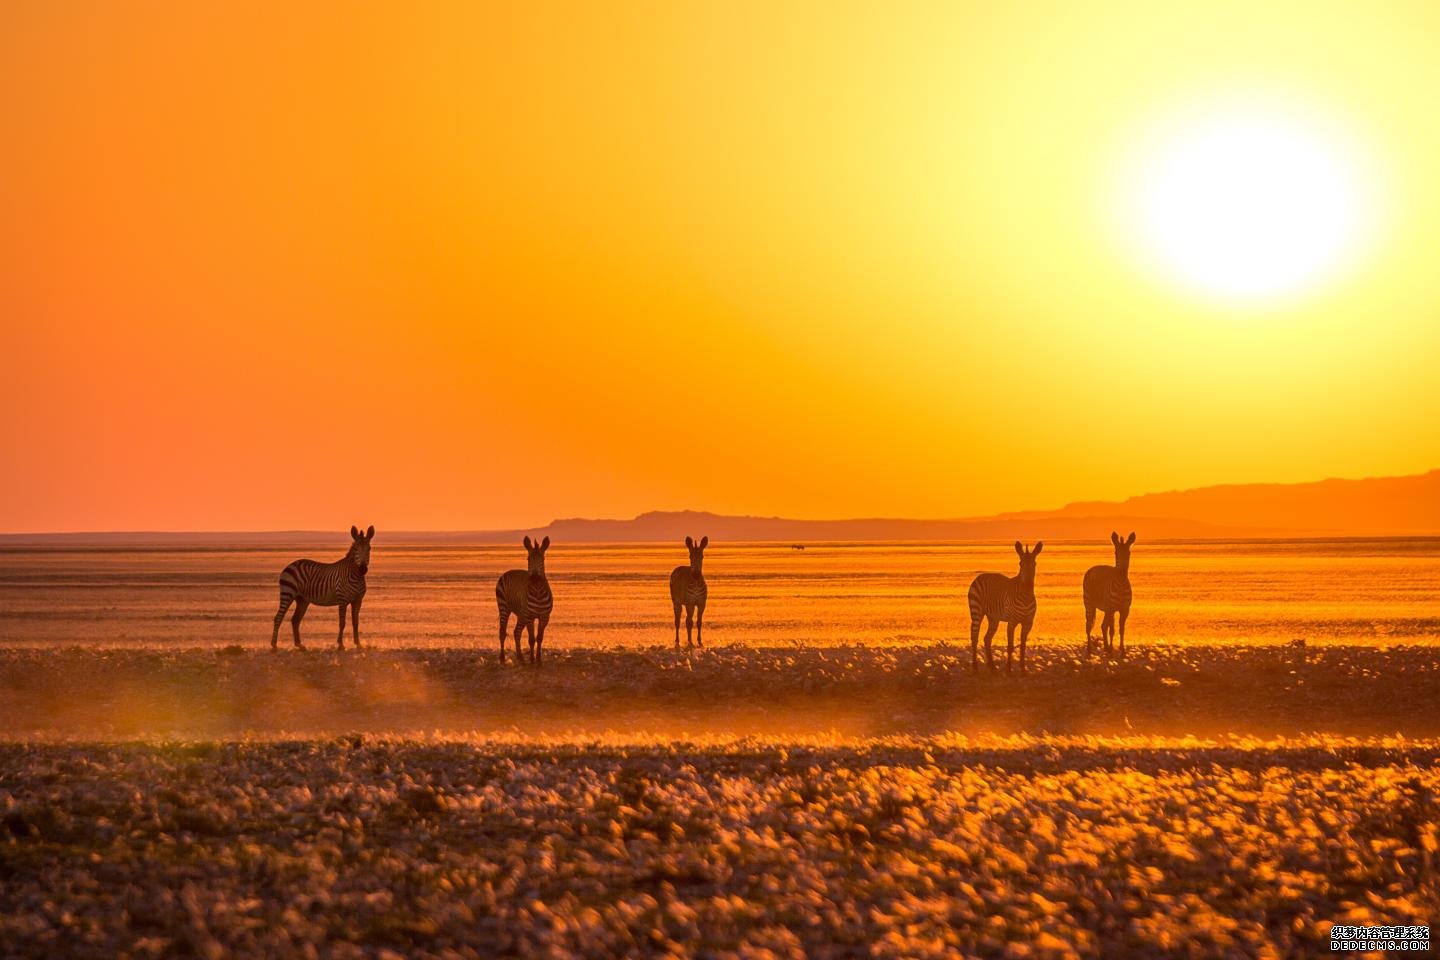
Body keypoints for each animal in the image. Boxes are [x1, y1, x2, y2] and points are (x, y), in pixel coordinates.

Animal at [967, 544, 1048, 673]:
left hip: (993, 618)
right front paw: (1009, 669)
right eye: (1020, 564)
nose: (1027, 584)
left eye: (1034, 564)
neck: (1026, 596)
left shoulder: (1028, 623)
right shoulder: (1012, 622)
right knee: (974, 637)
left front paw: (1023, 669)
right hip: (976, 611)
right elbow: (1010, 646)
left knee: (987, 638)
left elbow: (1023, 646)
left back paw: (993, 667)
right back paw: (975, 667)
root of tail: (981, 576)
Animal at [1082, 532, 1140, 662]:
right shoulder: (1112, 609)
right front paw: (1112, 650)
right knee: (1089, 625)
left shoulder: (1124, 610)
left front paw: (1122, 651)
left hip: (1106, 610)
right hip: (1090, 604)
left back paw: (1106, 647)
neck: (1121, 583)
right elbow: (1112, 630)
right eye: (1116, 553)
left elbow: (1121, 630)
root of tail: (1092, 568)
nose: (1121, 572)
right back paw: (1089, 649)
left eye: (1128, 553)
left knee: (1103, 626)